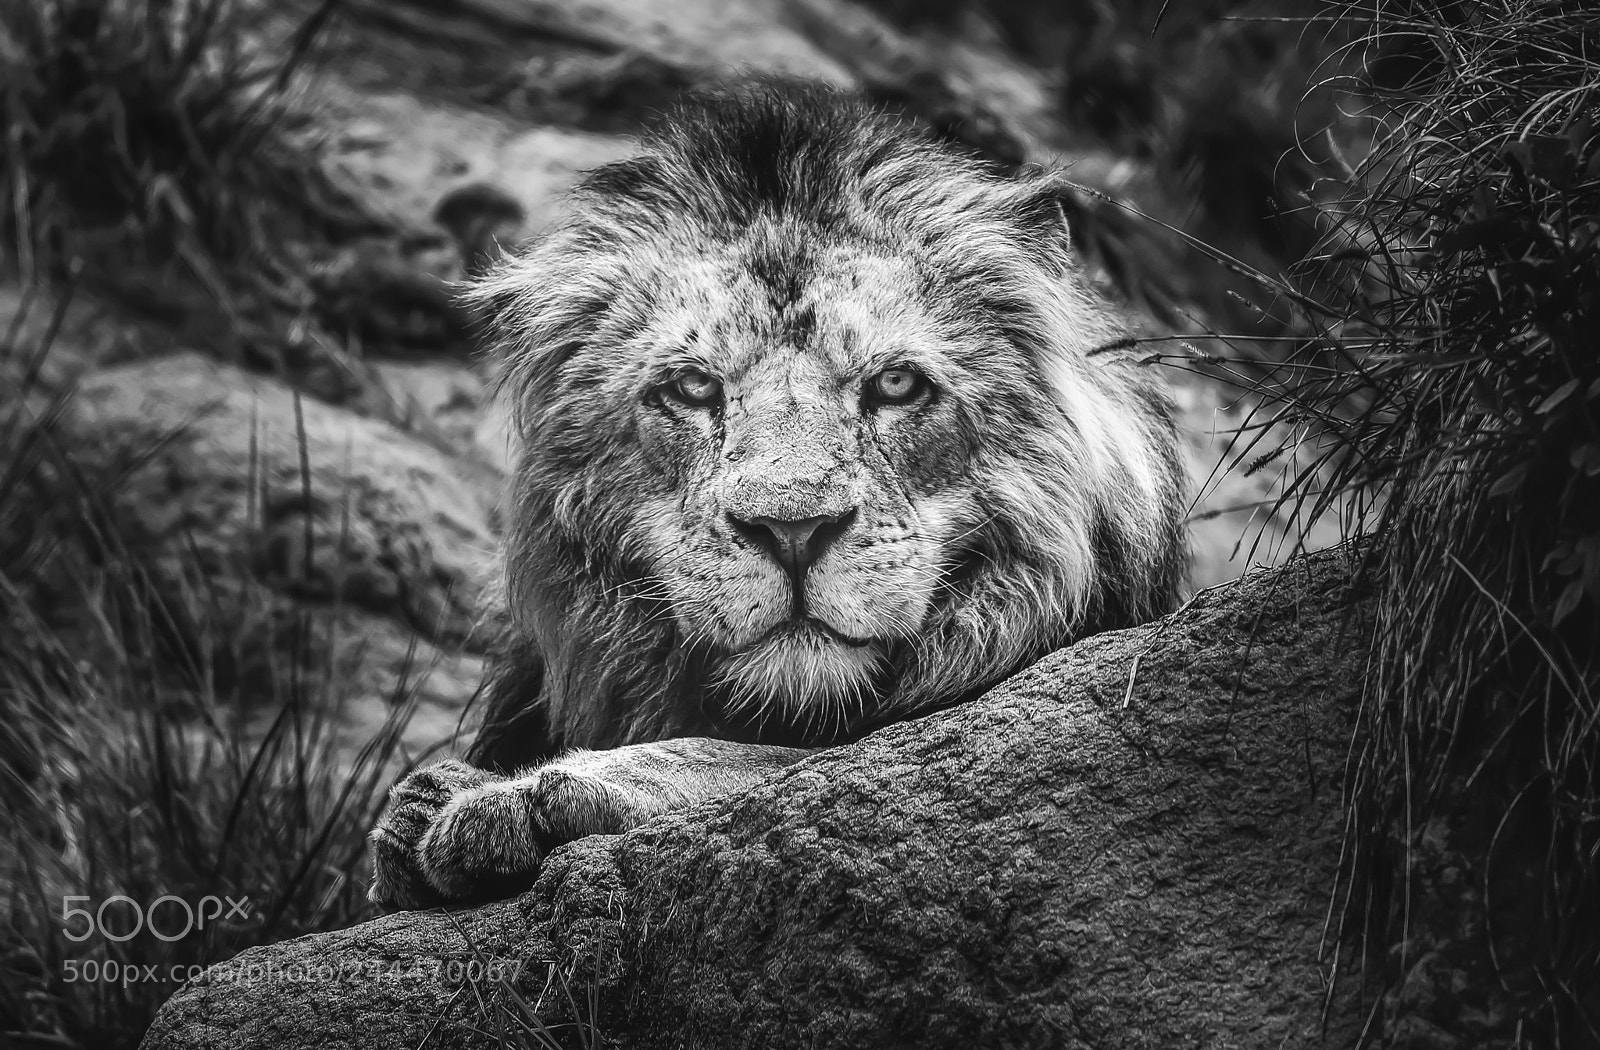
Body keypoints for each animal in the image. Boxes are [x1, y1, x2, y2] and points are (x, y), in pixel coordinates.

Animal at [370, 79, 1188, 910]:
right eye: (692, 387)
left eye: (897, 384)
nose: (792, 531)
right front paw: (427, 803)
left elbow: (740, 756)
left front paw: (495, 797)